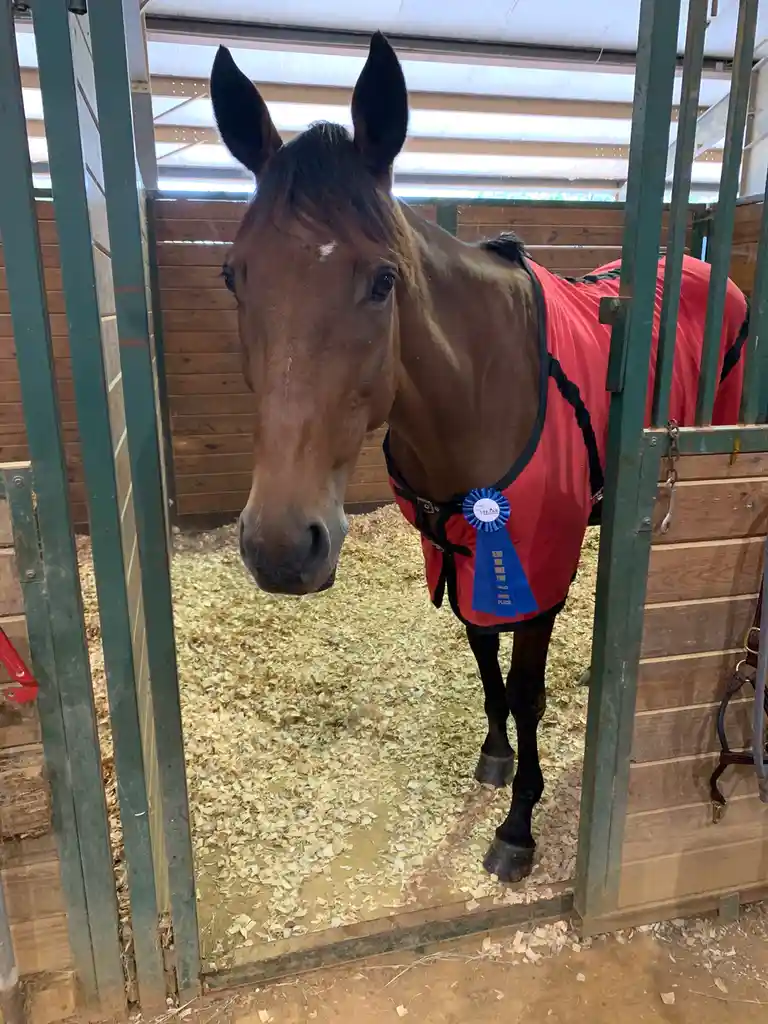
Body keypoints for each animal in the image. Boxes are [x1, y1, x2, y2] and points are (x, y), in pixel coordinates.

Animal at [209, 34, 750, 884]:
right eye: (235, 275)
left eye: (383, 281)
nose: (281, 547)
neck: (477, 391)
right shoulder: (456, 545)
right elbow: (480, 647)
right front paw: (494, 752)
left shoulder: (535, 562)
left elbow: (525, 686)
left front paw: (519, 822)